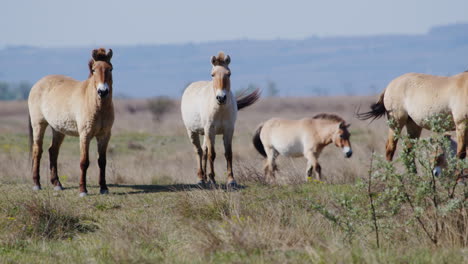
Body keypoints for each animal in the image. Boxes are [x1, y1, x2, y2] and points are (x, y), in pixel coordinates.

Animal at [28, 48, 114, 196]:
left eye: (110, 69)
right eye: (94, 70)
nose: (102, 91)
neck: (98, 107)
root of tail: (38, 83)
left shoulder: (105, 135)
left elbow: (102, 161)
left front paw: (103, 188)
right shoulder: (85, 135)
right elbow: (84, 162)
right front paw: (83, 190)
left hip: (58, 129)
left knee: (53, 151)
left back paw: (57, 184)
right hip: (38, 125)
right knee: (37, 151)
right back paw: (36, 184)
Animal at [182, 52, 262, 188]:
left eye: (228, 74)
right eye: (212, 74)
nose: (221, 97)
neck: (220, 109)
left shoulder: (228, 130)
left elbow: (228, 154)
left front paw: (231, 180)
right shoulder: (210, 130)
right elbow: (212, 154)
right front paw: (212, 180)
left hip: (205, 134)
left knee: (203, 151)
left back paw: (204, 178)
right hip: (192, 132)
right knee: (198, 151)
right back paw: (200, 178)